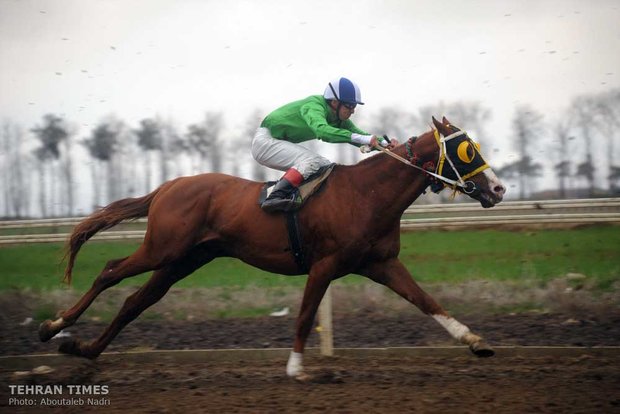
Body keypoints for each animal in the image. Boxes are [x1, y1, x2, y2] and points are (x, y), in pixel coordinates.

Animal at [37, 115, 504, 378]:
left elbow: (427, 301)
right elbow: (304, 316)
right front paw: (296, 369)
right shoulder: (325, 264)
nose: (498, 189)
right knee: (110, 271)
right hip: (163, 249)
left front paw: (475, 340)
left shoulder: (382, 263)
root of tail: (168, 186)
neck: (366, 194)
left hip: (184, 260)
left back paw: (83, 348)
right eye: (466, 150)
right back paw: (54, 326)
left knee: (136, 301)